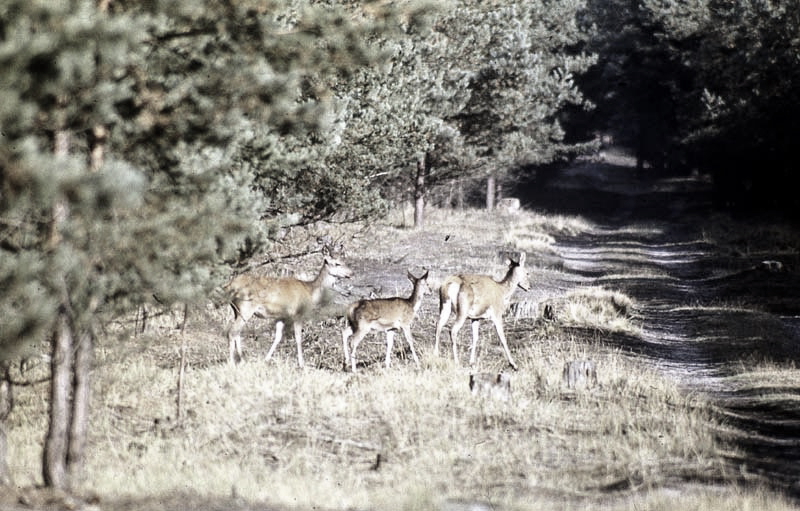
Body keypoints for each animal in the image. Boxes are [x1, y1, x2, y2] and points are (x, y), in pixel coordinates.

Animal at [223, 249, 352, 366]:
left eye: (344, 261)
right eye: (337, 263)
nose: (350, 273)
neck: (310, 292)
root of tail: (229, 286)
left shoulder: (281, 316)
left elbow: (278, 337)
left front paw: (266, 359)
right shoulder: (298, 313)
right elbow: (298, 337)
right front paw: (301, 364)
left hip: (237, 310)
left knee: (237, 332)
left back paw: (242, 360)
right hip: (246, 308)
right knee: (232, 332)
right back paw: (232, 363)